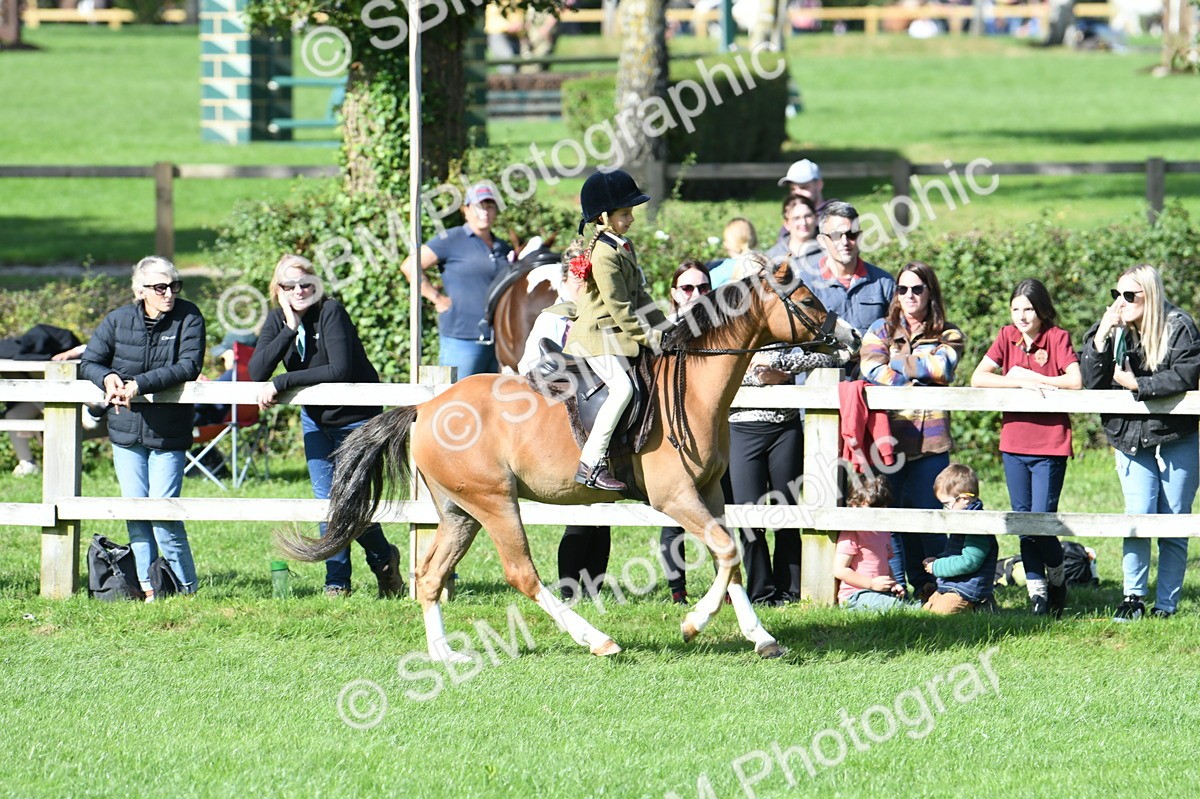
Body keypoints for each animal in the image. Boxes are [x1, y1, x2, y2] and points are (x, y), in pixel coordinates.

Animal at [278, 261, 860, 660]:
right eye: (807, 298)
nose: (853, 336)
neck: (693, 384)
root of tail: (425, 408)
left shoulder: (711, 493)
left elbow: (730, 557)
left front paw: (760, 637)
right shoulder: (675, 497)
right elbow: (726, 551)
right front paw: (694, 624)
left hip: (460, 511)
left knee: (430, 576)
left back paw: (444, 654)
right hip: (496, 503)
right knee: (521, 574)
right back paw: (597, 640)